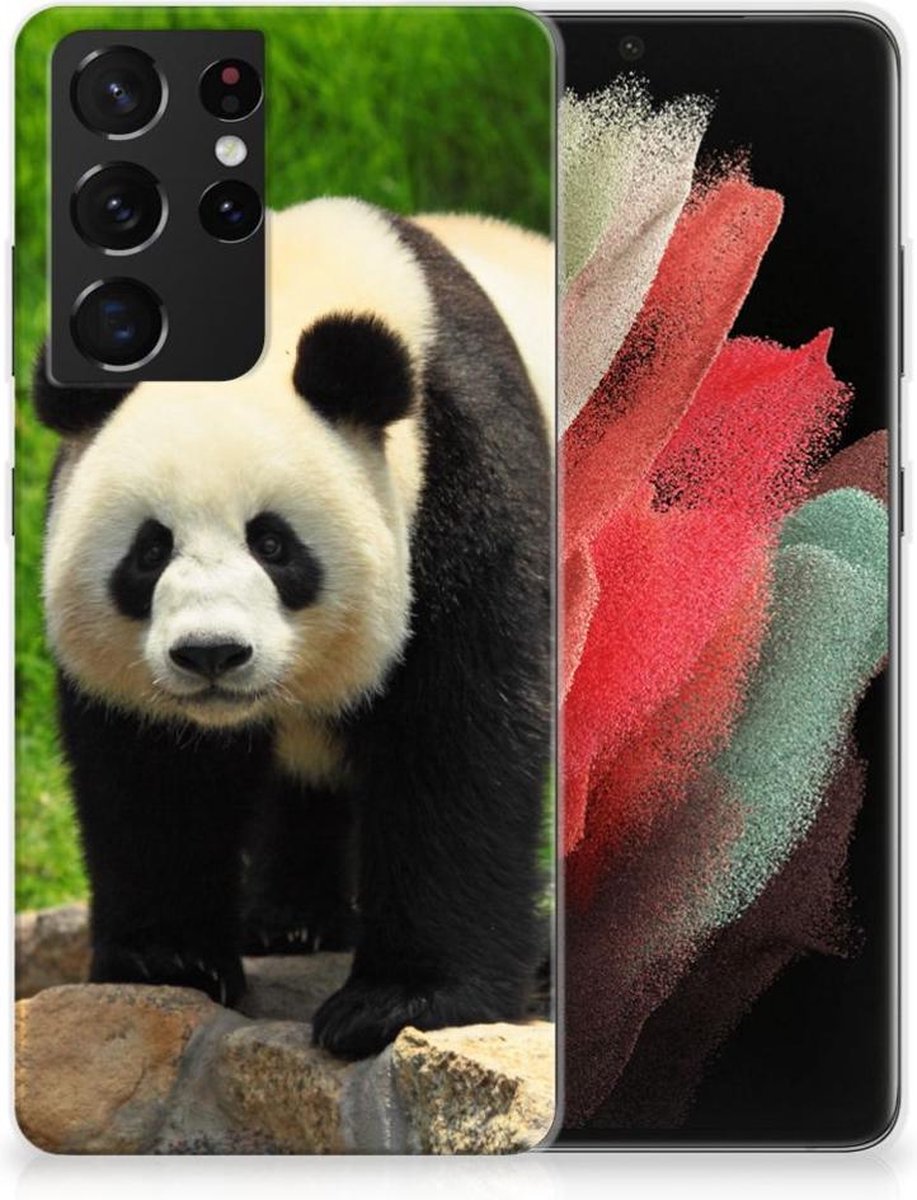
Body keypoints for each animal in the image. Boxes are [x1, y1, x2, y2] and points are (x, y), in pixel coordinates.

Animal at [33, 197, 553, 1059]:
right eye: (149, 550)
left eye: (273, 544)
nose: (211, 654)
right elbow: (152, 769)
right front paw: (167, 959)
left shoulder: (466, 478)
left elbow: (459, 738)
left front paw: (400, 1001)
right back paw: (289, 921)